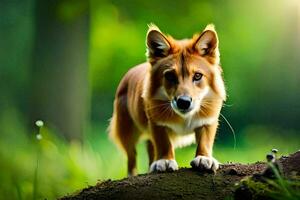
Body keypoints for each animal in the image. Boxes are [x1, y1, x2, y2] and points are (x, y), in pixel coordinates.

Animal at [109, 24, 226, 176]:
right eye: (170, 76)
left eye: (198, 76)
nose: (184, 102)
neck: (184, 117)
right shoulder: (156, 123)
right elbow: (163, 143)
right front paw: (165, 160)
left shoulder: (208, 120)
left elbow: (205, 141)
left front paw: (204, 158)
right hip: (126, 130)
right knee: (131, 157)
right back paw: (132, 174)